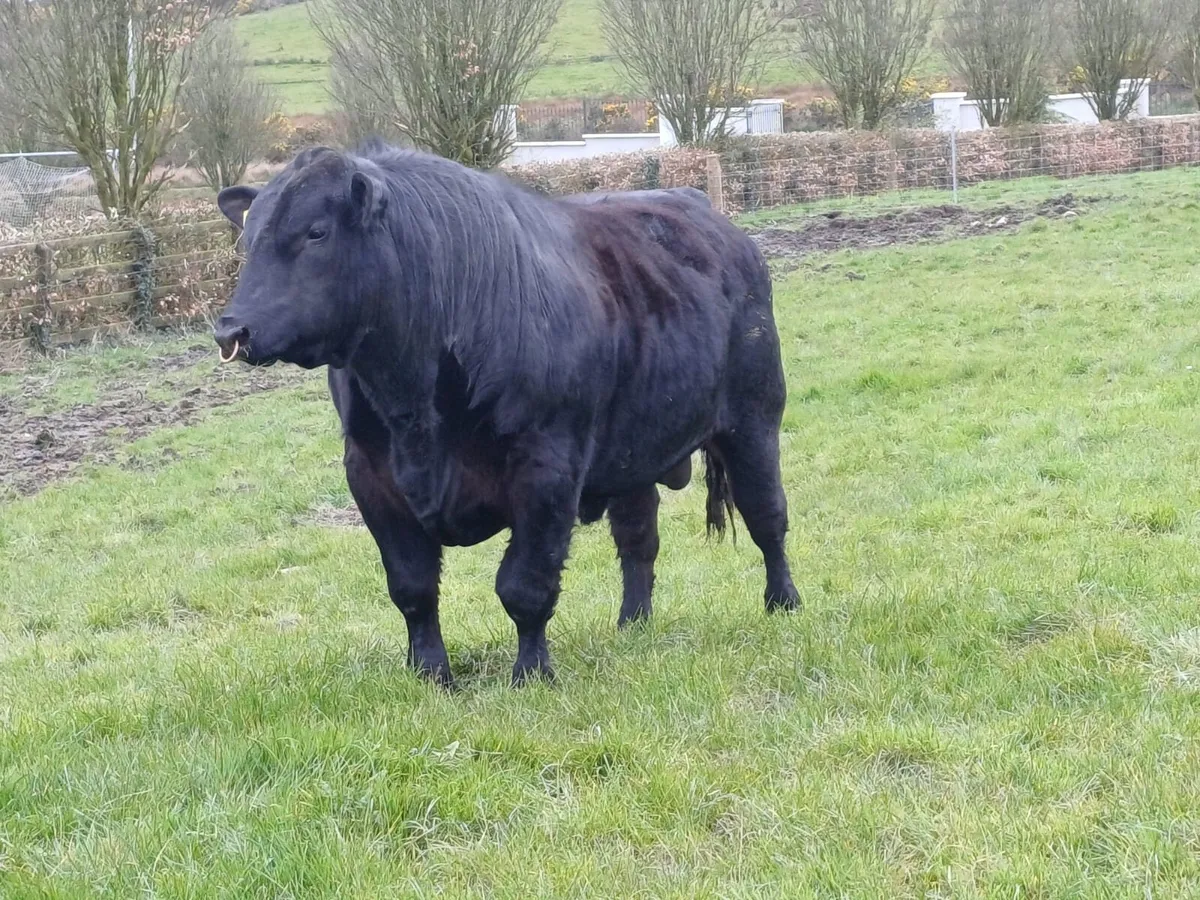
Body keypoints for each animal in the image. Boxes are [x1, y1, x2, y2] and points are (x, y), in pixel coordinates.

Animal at [212, 143, 799, 687]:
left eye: (316, 232)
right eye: (248, 238)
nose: (231, 330)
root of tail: (711, 216)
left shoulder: (547, 468)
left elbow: (524, 585)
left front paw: (532, 673)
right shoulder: (370, 475)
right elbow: (412, 588)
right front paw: (431, 676)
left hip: (754, 418)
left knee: (767, 516)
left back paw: (784, 603)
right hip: (633, 453)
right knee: (639, 540)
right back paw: (633, 624)